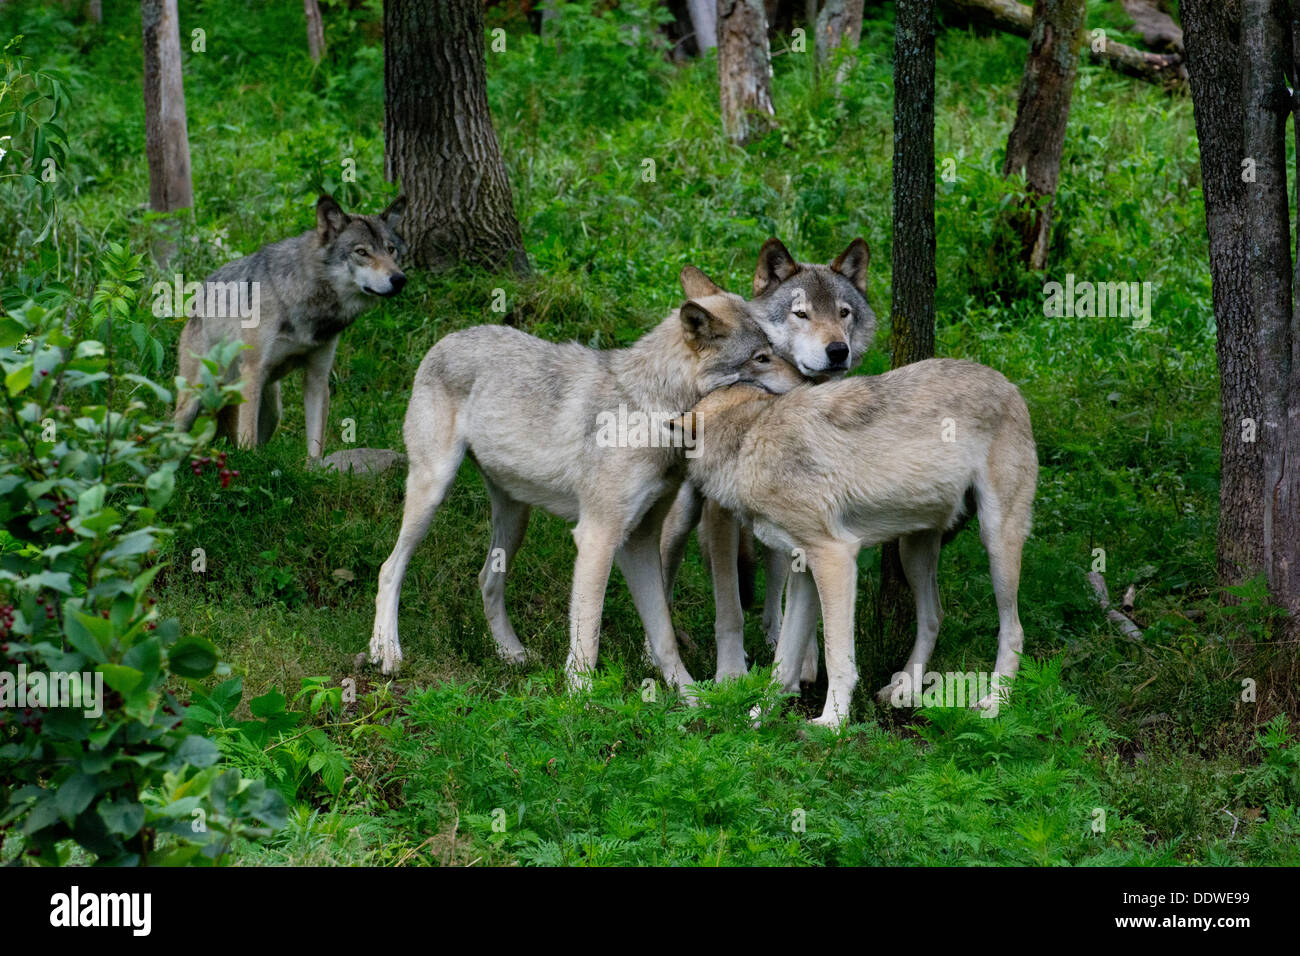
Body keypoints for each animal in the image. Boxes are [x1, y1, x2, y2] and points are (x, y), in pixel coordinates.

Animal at [174, 193, 407, 459]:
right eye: (362, 252)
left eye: (391, 250)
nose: (399, 279)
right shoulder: (253, 372)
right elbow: (247, 439)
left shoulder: (317, 377)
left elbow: (315, 444)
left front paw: (313, 468)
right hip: (195, 399)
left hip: (273, 409)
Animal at [368, 269, 804, 693]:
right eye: (761, 357)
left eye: (774, 350)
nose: (807, 384)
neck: (648, 411)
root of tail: (447, 337)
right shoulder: (598, 537)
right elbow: (588, 637)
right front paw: (580, 701)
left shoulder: (639, 541)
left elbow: (663, 634)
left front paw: (690, 697)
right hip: (433, 491)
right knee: (389, 568)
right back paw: (386, 652)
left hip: (514, 520)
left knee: (486, 581)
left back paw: (511, 653)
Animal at [659, 237, 876, 681]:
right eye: (801, 313)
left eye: (843, 313)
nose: (837, 350)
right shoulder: (720, 517)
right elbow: (729, 608)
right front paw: (730, 675)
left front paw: (802, 662)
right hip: (684, 517)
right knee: (665, 570)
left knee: (775, 581)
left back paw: (774, 635)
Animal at [673, 357, 1037, 728]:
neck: (749, 441)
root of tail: (1007, 383)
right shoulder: (804, 569)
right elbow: (782, 664)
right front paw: (757, 719)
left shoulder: (834, 557)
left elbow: (837, 657)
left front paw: (831, 723)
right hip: (912, 554)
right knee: (934, 616)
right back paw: (903, 688)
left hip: (995, 542)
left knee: (1013, 630)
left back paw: (994, 703)